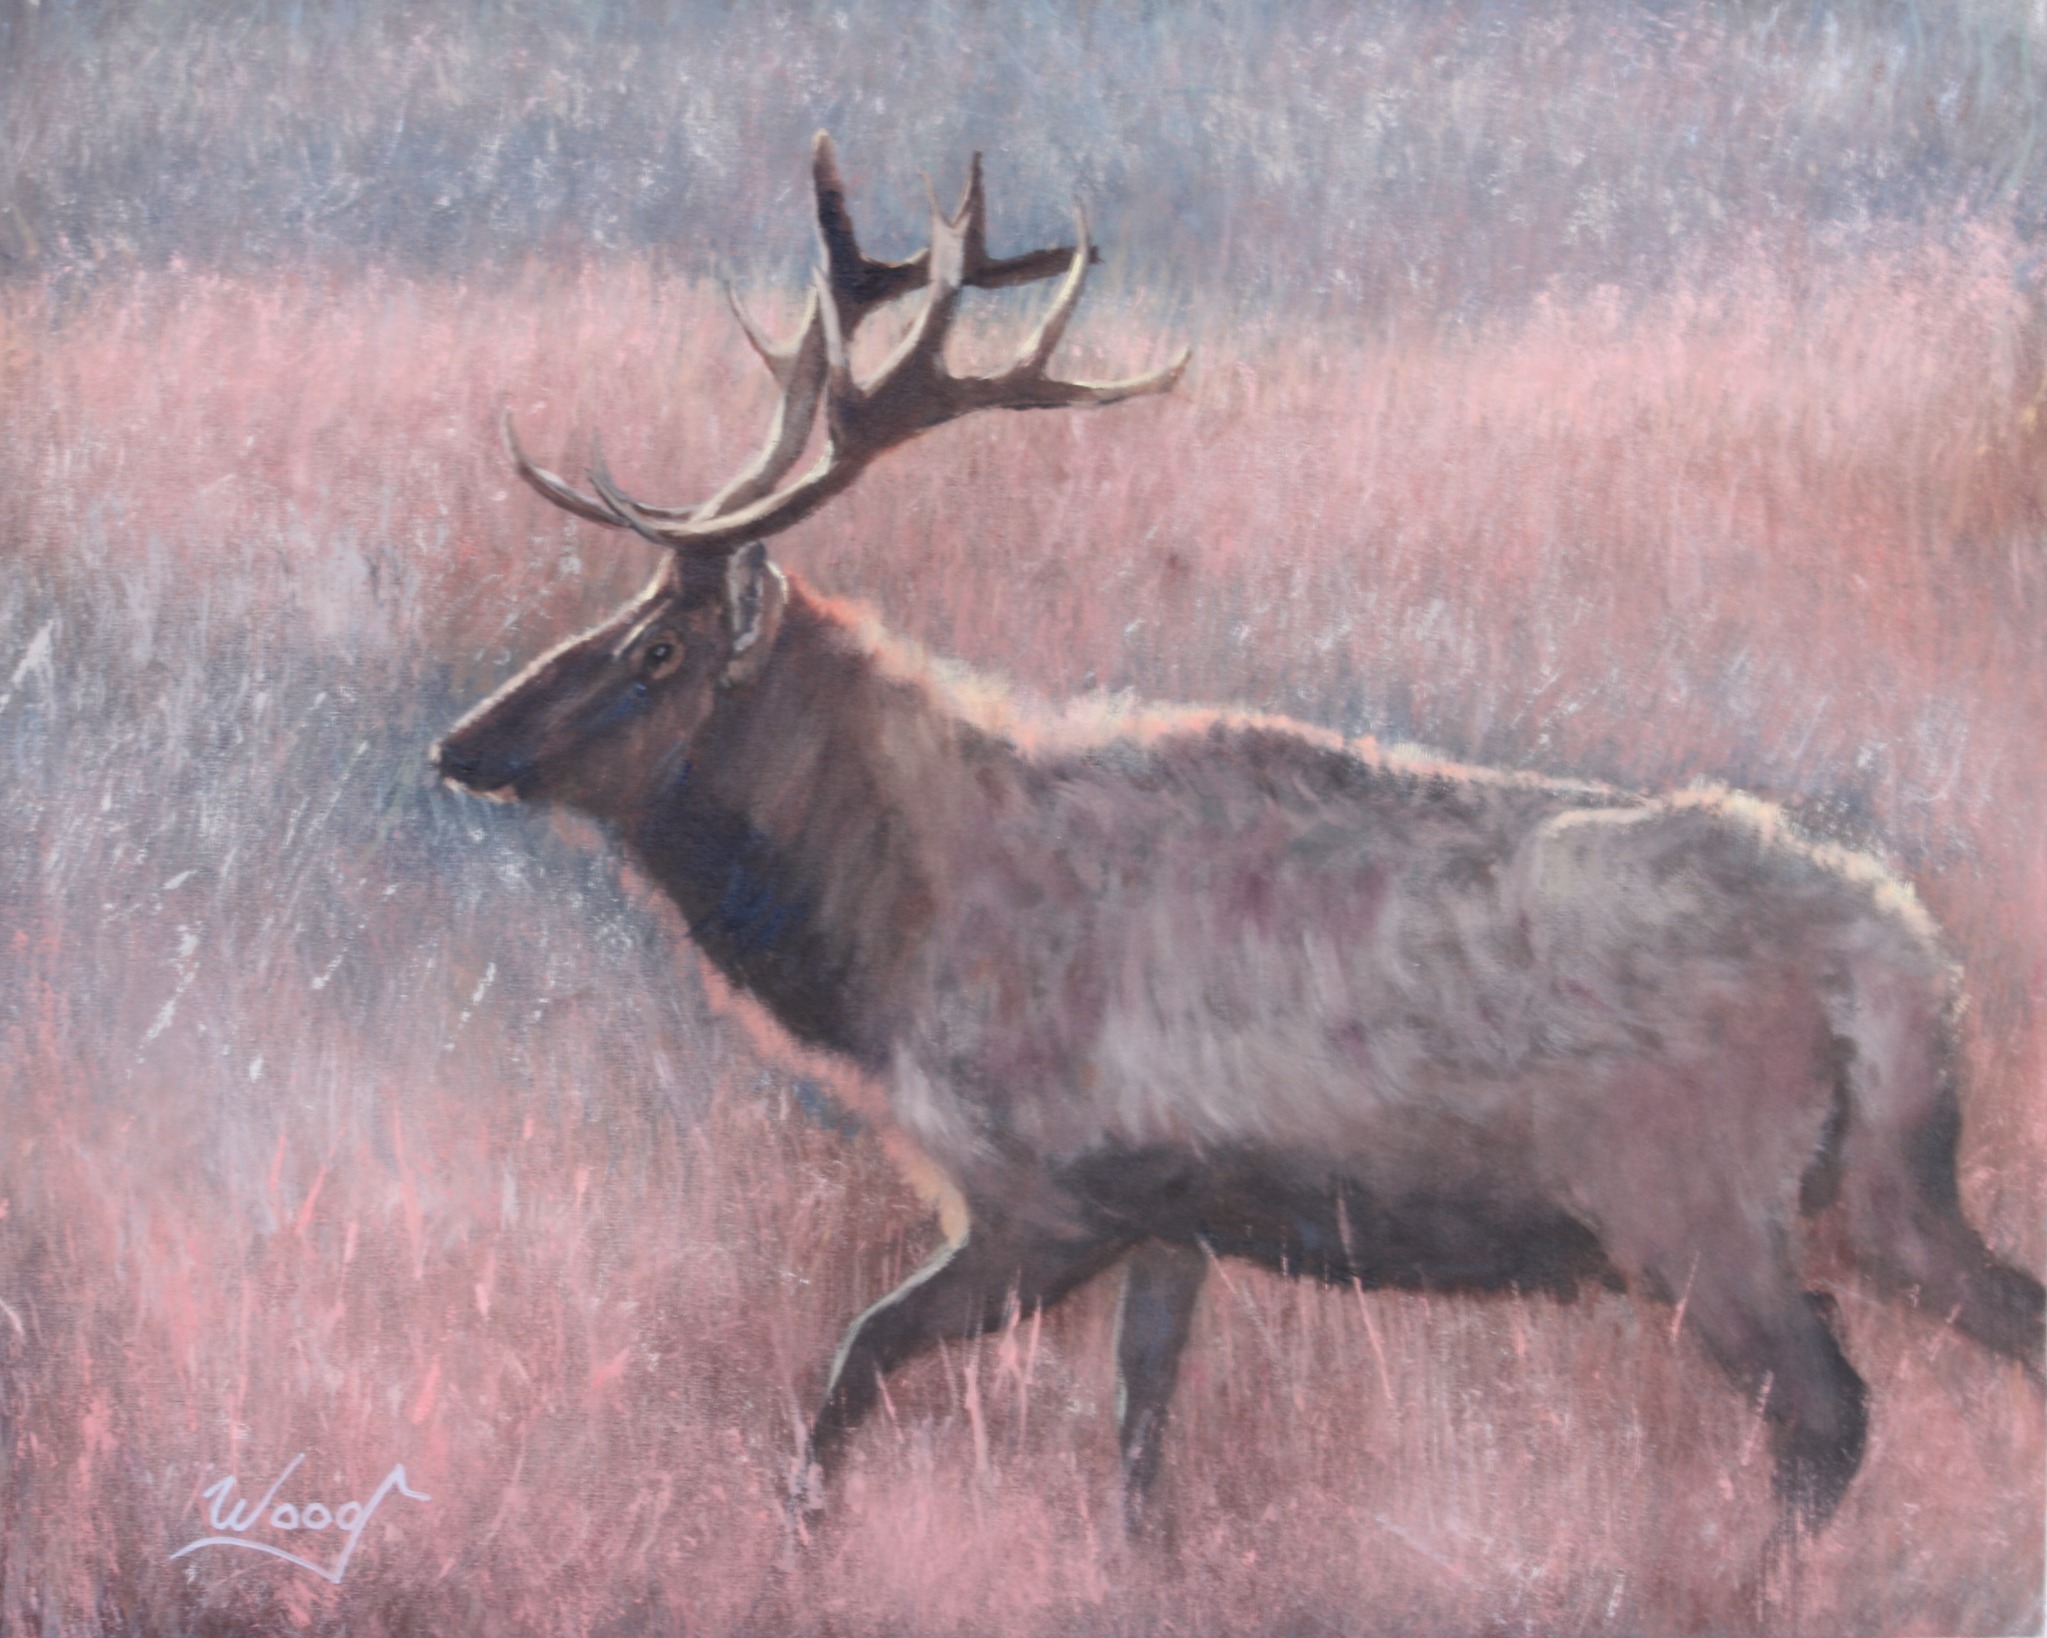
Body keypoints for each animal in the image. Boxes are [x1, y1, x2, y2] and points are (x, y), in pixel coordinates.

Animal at [433, 133, 2044, 1553]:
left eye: (652, 651)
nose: (460, 743)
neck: (891, 938)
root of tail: (1903, 964)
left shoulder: (1047, 1192)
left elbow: (854, 1364)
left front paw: (802, 1550)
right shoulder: (1176, 1216)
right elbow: (1140, 1432)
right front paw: (1140, 1569)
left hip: (1694, 1207)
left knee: (1825, 1410)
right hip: (1882, 1191)